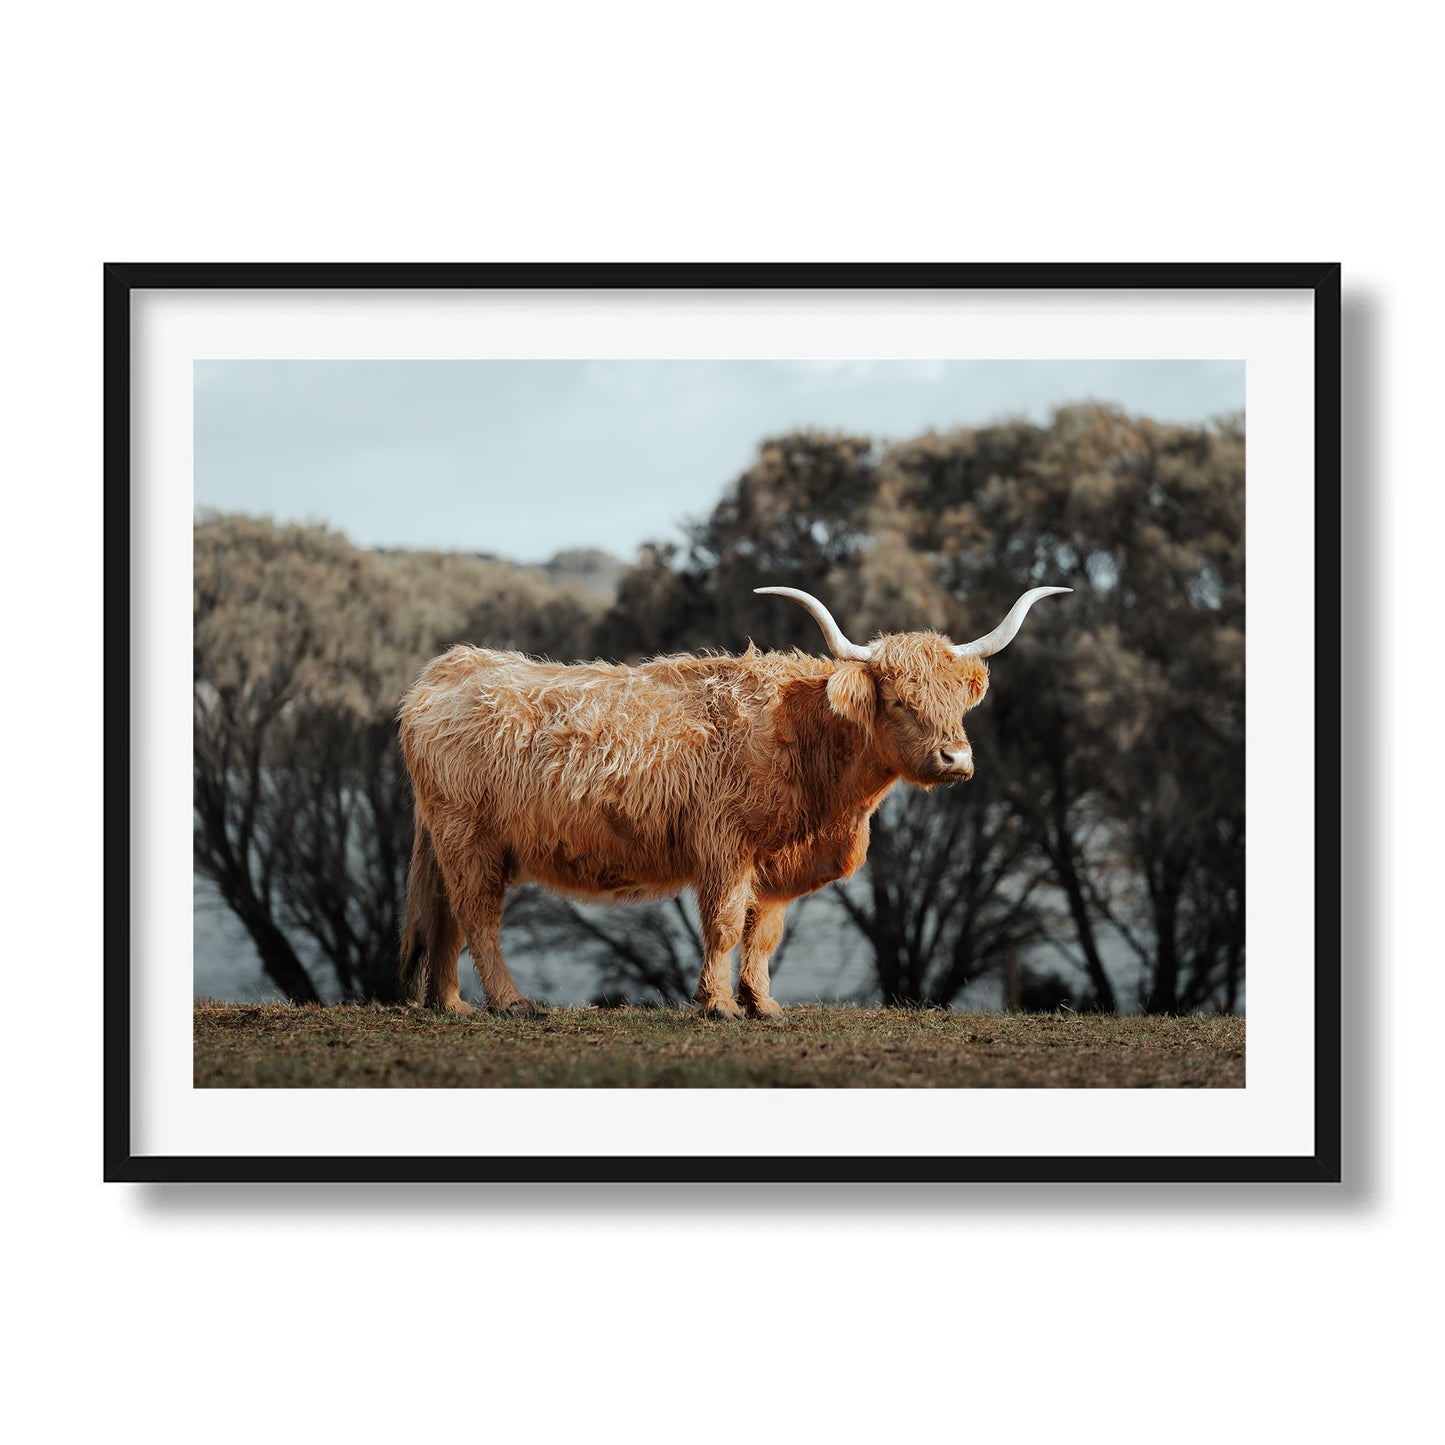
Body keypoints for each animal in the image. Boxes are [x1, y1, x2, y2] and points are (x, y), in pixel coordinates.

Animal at [397, 584, 1069, 1017]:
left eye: (957, 700)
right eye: (901, 701)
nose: (956, 760)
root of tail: (450, 666)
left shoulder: (775, 862)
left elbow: (763, 932)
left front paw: (763, 1004)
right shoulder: (725, 846)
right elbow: (722, 925)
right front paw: (718, 1005)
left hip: (454, 842)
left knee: (447, 918)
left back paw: (452, 1006)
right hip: (469, 838)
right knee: (478, 917)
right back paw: (510, 1003)